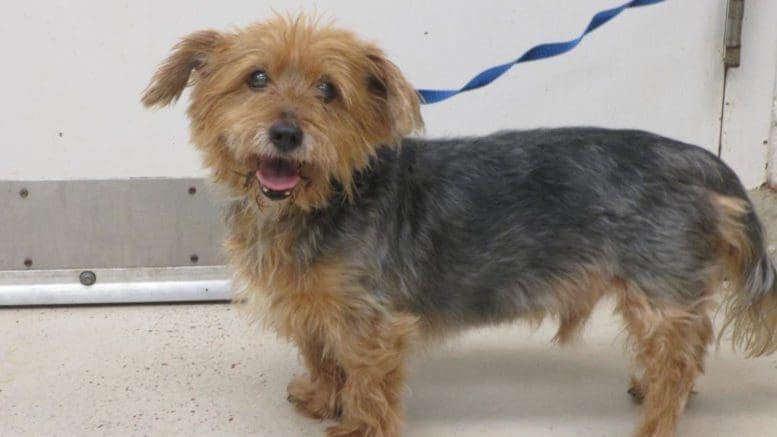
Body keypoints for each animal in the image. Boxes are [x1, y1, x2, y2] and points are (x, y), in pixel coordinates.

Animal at [142, 14, 776, 436]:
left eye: (328, 90)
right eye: (255, 79)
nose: (286, 133)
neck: (325, 197)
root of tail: (704, 162)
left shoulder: (371, 322)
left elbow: (366, 381)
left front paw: (358, 426)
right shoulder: (319, 311)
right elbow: (324, 356)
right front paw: (323, 398)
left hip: (657, 288)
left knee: (678, 357)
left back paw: (658, 418)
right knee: (689, 343)